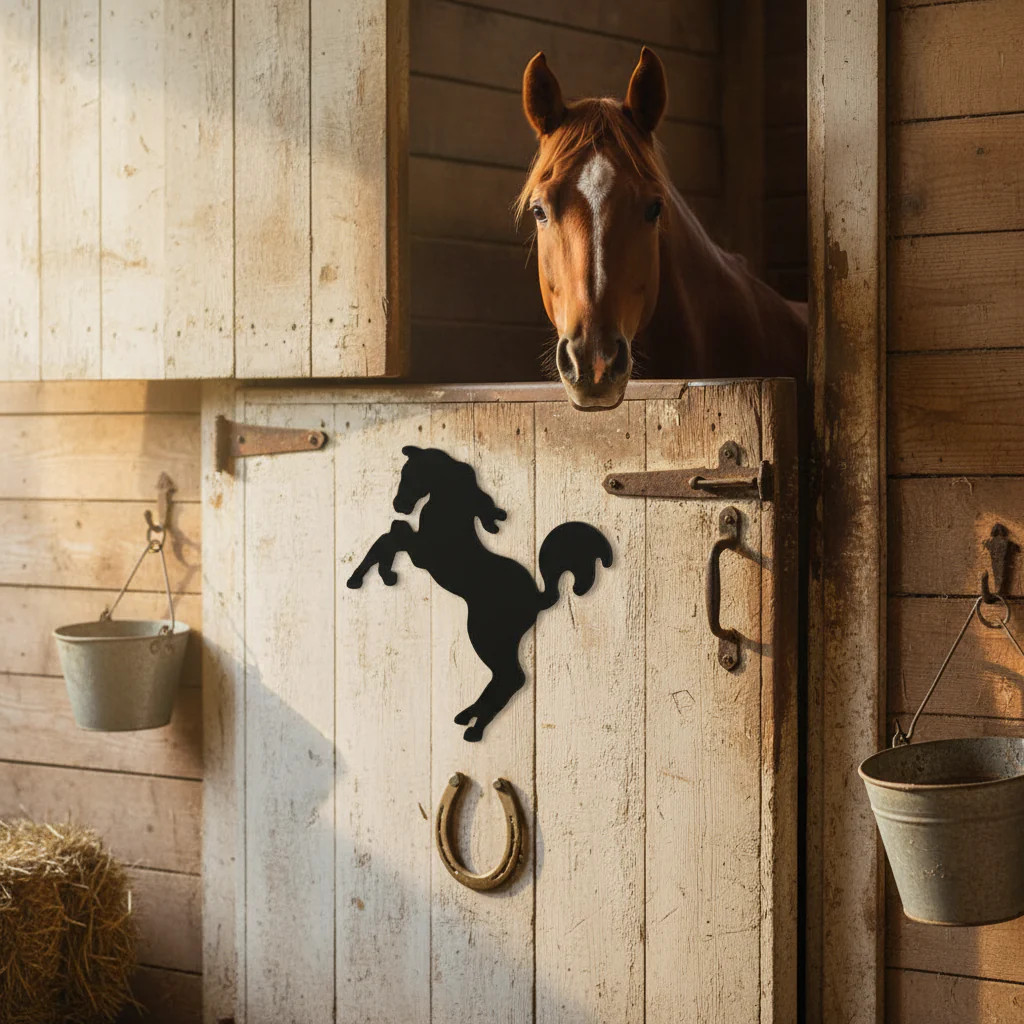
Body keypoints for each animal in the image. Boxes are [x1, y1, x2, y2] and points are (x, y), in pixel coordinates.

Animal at [346, 446, 613, 742]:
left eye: (410, 474)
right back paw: (468, 717)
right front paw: (382, 574)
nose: (399, 505)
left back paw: (475, 728)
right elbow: (389, 536)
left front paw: (364, 576)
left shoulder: (420, 553)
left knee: (511, 677)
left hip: (486, 634)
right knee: (504, 678)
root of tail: (538, 599)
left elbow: (389, 537)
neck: (449, 514)